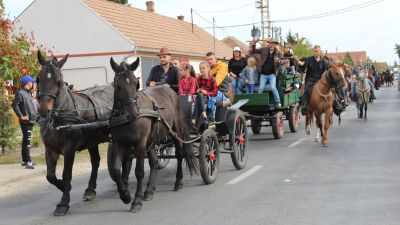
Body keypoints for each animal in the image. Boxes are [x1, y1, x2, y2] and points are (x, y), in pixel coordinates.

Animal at [36, 52, 113, 216]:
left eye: (58, 81)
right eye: (38, 79)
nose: (44, 110)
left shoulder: (69, 148)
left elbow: (66, 173)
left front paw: (63, 203)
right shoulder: (50, 149)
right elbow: (50, 176)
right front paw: (63, 186)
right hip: (92, 140)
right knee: (95, 161)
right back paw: (90, 190)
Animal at [109, 57, 197, 212]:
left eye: (136, 83)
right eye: (118, 85)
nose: (133, 113)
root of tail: (169, 89)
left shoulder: (140, 143)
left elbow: (139, 171)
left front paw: (136, 200)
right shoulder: (119, 143)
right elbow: (115, 170)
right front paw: (125, 195)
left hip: (176, 131)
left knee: (179, 155)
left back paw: (178, 182)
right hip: (152, 140)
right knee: (154, 161)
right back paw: (149, 190)